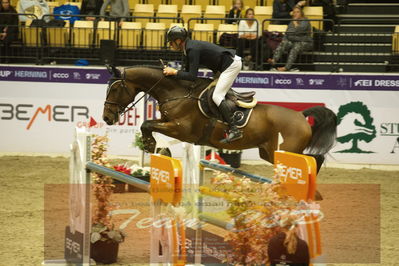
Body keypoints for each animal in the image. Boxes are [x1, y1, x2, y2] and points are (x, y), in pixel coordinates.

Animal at [103, 65, 338, 171]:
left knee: (313, 160)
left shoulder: (181, 129)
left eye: (114, 89)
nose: (106, 117)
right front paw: (153, 146)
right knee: (314, 160)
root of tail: (300, 115)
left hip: (285, 150)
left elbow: (146, 124)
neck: (176, 93)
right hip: (269, 152)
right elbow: (149, 125)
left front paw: (149, 144)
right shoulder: (172, 126)